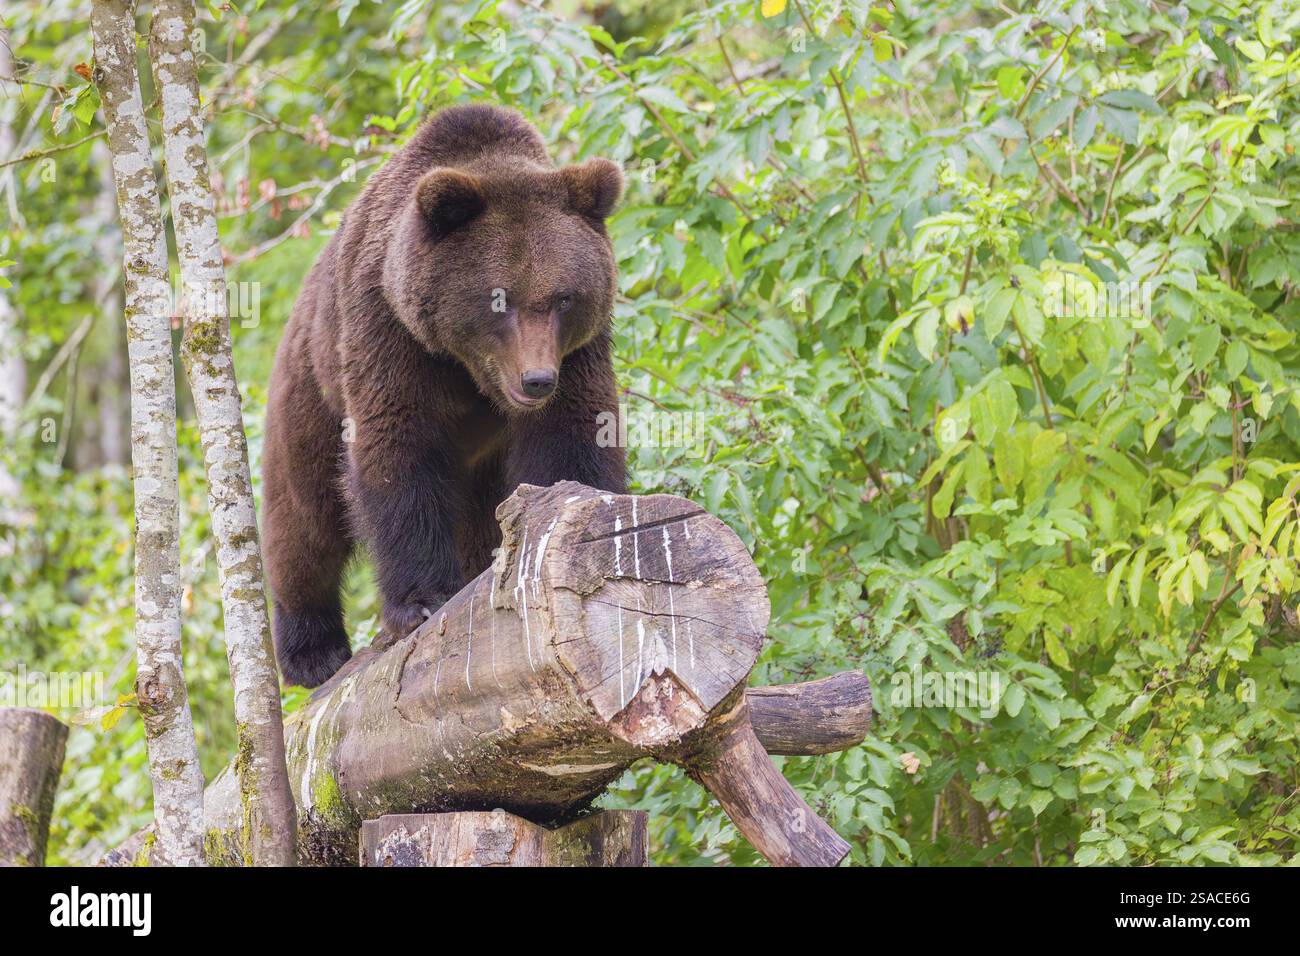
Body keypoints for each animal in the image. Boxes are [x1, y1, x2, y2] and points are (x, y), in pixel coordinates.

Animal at [261, 104, 627, 688]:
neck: (467, 368)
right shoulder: (388, 331)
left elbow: (574, 433)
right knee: (304, 519)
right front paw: (420, 601)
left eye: (564, 298)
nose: (536, 380)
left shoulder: (578, 355)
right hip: (308, 393)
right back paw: (312, 651)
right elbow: (396, 449)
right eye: (499, 298)